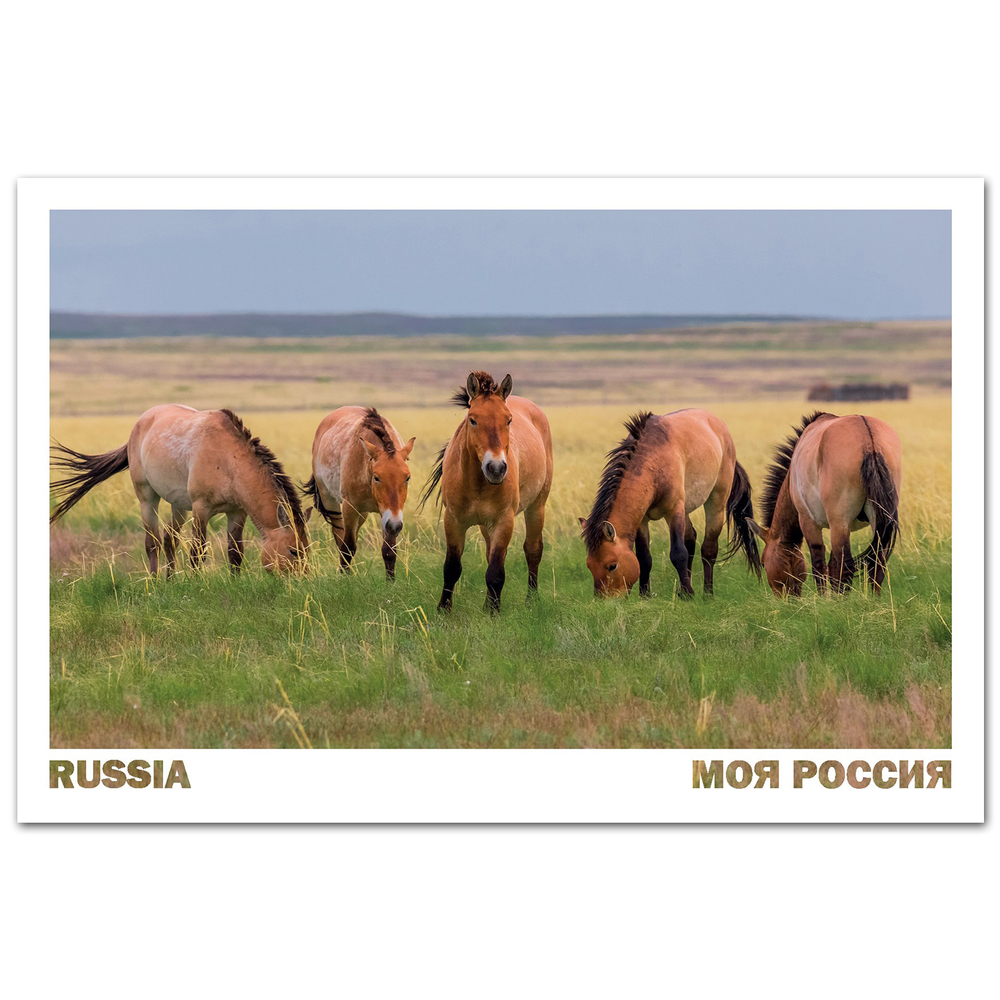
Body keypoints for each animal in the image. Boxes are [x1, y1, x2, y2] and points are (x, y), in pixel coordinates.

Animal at [50, 404, 310, 575]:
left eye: (306, 549)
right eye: (293, 551)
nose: (301, 580)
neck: (228, 459)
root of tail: (140, 422)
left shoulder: (236, 512)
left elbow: (235, 552)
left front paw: (235, 582)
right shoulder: (201, 509)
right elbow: (197, 551)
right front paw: (196, 584)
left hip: (178, 504)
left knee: (169, 539)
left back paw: (171, 580)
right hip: (147, 498)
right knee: (153, 541)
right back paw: (155, 582)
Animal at [302, 406, 415, 581]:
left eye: (407, 477)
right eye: (377, 477)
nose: (395, 525)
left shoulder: (389, 515)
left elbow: (389, 551)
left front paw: (391, 583)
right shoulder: (350, 508)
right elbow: (348, 547)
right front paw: (344, 579)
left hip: (363, 513)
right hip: (331, 501)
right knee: (340, 536)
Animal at [419, 371, 554, 613]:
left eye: (508, 420)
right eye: (472, 419)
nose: (496, 468)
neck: (477, 483)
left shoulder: (503, 520)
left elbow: (496, 571)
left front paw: (493, 612)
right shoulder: (453, 521)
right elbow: (452, 567)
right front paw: (444, 609)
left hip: (537, 507)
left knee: (532, 550)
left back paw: (531, 600)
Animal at [579, 408, 761, 598]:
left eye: (612, 566)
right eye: (589, 565)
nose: (605, 600)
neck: (653, 462)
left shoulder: (674, 510)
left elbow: (678, 553)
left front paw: (689, 593)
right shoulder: (642, 519)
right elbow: (644, 557)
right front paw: (645, 595)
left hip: (716, 501)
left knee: (708, 549)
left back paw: (707, 594)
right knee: (690, 539)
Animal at [746, 412, 902, 596]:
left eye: (763, 563)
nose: (788, 598)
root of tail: (868, 440)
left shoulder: (809, 522)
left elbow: (819, 566)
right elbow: (832, 566)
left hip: (839, 523)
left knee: (846, 567)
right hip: (875, 524)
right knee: (877, 565)